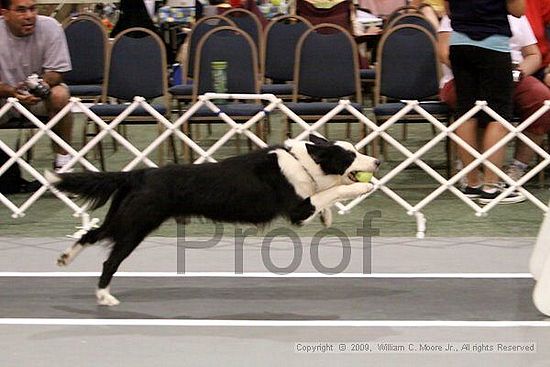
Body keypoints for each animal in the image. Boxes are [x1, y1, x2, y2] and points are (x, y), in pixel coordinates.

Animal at [47, 137, 380, 306]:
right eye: (350, 156)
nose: (377, 162)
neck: (304, 162)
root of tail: (139, 174)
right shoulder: (297, 209)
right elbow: (334, 191)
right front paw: (362, 189)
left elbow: (326, 197)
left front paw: (327, 216)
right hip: (135, 225)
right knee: (109, 259)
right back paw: (104, 296)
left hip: (124, 217)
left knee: (91, 232)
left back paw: (65, 258)